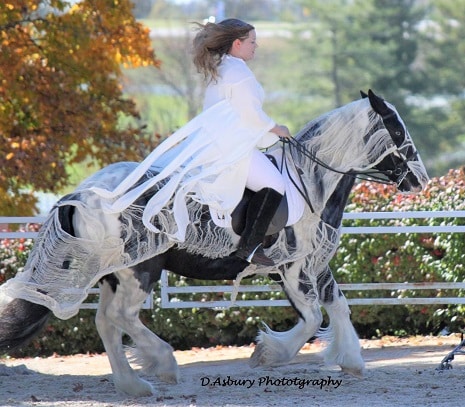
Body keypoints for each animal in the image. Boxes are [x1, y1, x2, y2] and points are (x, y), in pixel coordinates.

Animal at [0, 88, 428, 396]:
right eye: (397, 130)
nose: (420, 180)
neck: (308, 182)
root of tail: (84, 193)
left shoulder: (311, 265)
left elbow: (338, 306)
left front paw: (352, 361)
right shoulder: (291, 269)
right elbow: (311, 318)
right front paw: (268, 354)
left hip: (115, 273)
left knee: (106, 322)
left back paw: (135, 385)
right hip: (141, 269)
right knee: (120, 317)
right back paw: (163, 364)